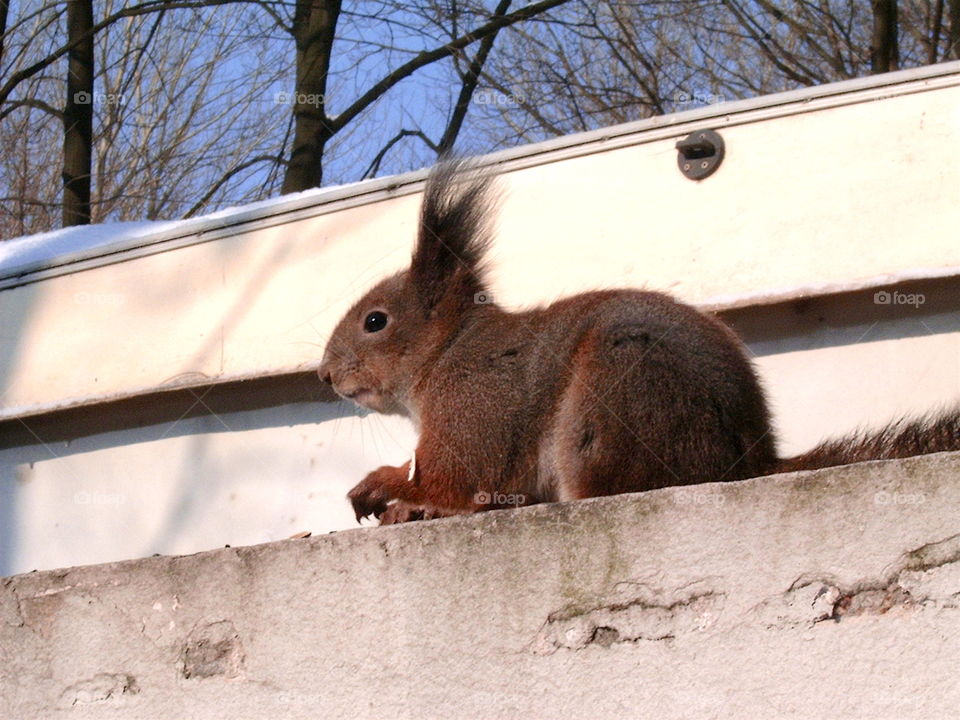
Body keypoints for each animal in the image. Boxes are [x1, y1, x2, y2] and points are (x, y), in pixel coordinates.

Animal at [318, 160, 960, 524]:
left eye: (375, 321)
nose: (324, 375)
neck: (447, 352)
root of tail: (745, 462)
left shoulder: (476, 403)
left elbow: (456, 478)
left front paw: (397, 491)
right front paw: (393, 494)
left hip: (617, 396)